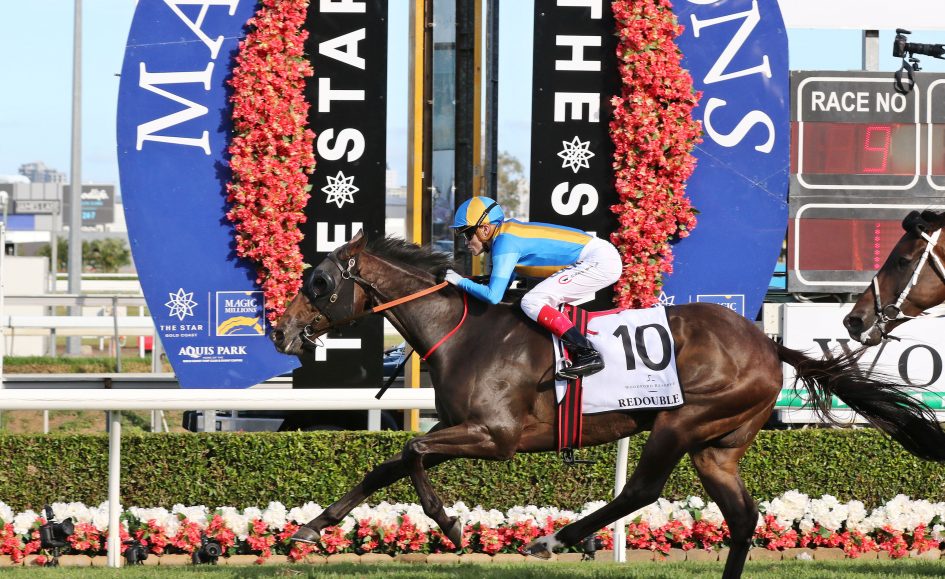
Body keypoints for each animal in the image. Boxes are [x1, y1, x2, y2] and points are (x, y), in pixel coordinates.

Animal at [271, 231, 945, 578]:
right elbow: (387, 464)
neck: (463, 331)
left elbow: (410, 449)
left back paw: (559, 539)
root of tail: (767, 342)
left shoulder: (495, 434)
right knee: (742, 516)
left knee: (643, 489)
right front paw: (308, 527)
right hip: (717, 447)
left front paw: (449, 522)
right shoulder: (462, 426)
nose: (280, 331)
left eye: (318, 283)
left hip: (681, 420)